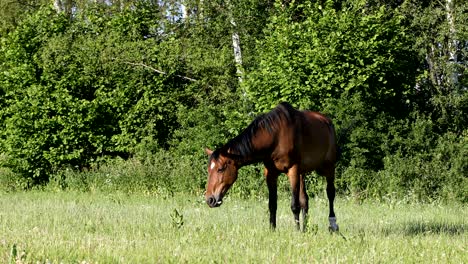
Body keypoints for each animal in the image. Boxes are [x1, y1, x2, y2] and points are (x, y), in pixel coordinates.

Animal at [205, 102, 340, 232]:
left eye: (220, 169)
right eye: (209, 170)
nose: (209, 199)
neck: (276, 136)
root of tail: (327, 121)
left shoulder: (293, 170)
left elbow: (294, 205)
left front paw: (296, 231)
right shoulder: (271, 173)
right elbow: (272, 204)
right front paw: (272, 230)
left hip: (329, 167)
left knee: (330, 193)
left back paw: (333, 225)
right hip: (302, 173)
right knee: (304, 201)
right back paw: (305, 229)